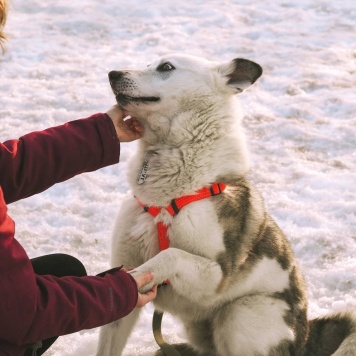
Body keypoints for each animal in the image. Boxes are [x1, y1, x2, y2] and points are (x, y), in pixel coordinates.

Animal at [96, 53, 356, 356]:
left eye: (166, 67)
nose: (113, 73)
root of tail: (305, 340)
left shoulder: (216, 276)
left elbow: (171, 254)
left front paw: (141, 274)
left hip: (239, 314)